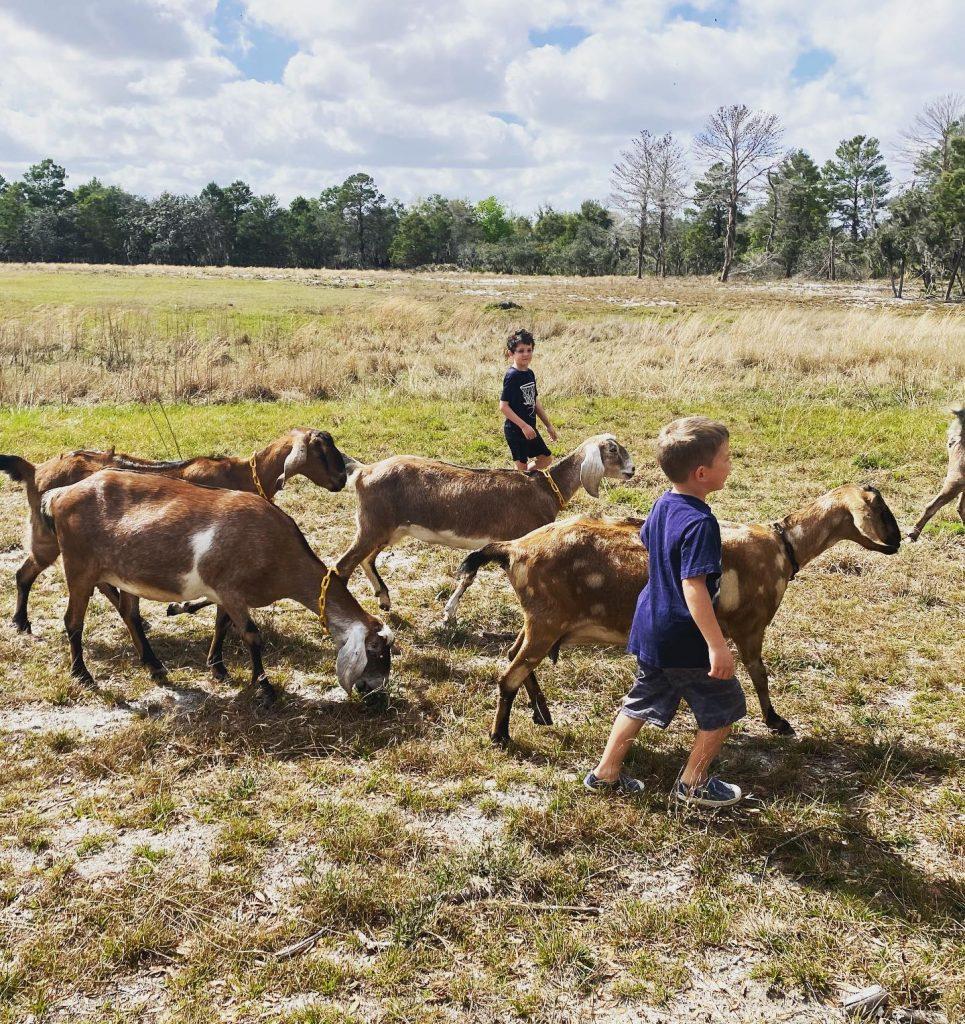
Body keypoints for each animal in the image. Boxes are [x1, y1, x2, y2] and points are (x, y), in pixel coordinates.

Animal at [0, 423, 348, 630]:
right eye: (321, 451)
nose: (341, 480)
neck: (244, 475)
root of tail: (35, 469)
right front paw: (180, 607)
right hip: (51, 539)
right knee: (27, 573)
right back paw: (20, 621)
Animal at [336, 432, 639, 614]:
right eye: (613, 450)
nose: (632, 470)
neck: (544, 488)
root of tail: (364, 471)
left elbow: (470, 574)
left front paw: (449, 613)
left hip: (389, 529)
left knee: (366, 559)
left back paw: (384, 599)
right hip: (374, 524)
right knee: (343, 565)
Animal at [456, 485, 901, 745]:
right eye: (882, 511)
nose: (899, 541)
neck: (783, 545)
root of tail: (514, 549)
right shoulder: (750, 626)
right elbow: (759, 674)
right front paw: (776, 722)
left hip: (540, 620)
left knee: (514, 658)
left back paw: (542, 713)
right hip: (546, 621)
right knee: (509, 673)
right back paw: (500, 735)